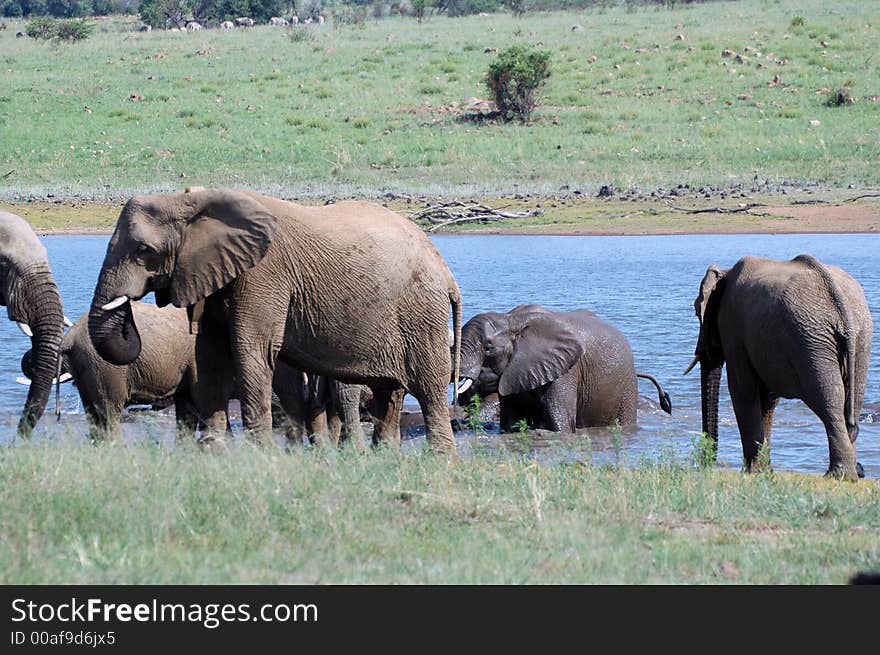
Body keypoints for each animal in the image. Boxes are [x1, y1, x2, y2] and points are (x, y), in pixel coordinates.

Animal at [86, 187, 464, 454]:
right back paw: (383, 459)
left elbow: (250, 351)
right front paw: (213, 452)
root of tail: (446, 271)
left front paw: (260, 453)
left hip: (421, 313)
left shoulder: (264, 275)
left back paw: (439, 461)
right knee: (389, 391)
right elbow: (210, 357)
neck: (194, 201)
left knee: (428, 387)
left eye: (144, 251)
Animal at [454, 304, 672, 434]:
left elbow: (561, 425)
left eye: (488, 348)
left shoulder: (566, 371)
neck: (511, 319)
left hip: (626, 388)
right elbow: (511, 423)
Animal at [688, 255, 872, 482]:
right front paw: (764, 471)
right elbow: (767, 400)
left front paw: (751, 472)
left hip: (811, 341)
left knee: (830, 401)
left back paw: (838, 475)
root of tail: (840, 302)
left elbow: (742, 391)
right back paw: (849, 474)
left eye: (697, 311)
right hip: (859, 339)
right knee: (851, 402)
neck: (725, 272)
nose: (706, 465)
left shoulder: (733, 329)